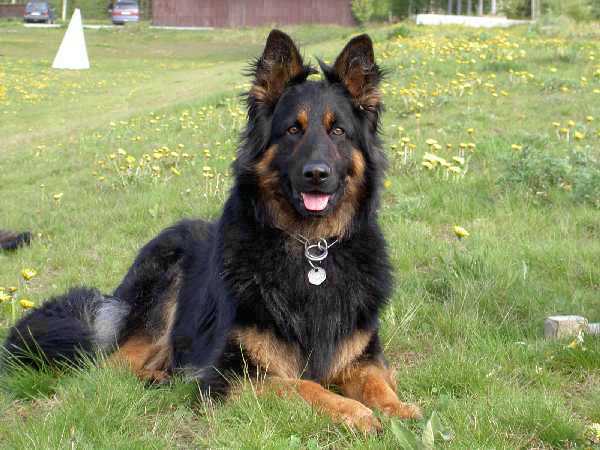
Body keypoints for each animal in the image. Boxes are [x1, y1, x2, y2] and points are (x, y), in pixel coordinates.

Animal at [4, 30, 421, 432]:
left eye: (338, 131)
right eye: (292, 130)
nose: (316, 174)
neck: (310, 250)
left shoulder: (361, 358)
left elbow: (377, 383)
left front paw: (399, 410)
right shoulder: (232, 375)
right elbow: (305, 385)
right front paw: (354, 412)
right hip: (166, 279)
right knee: (114, 366)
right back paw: (159, 377)